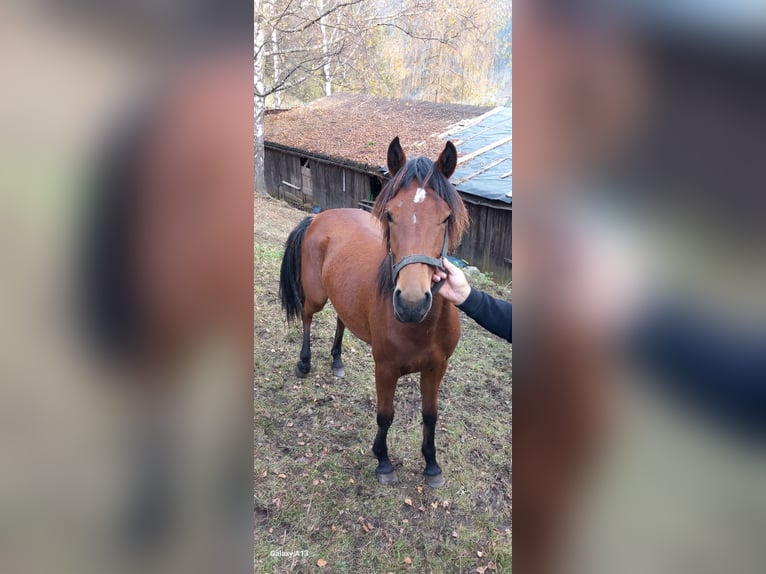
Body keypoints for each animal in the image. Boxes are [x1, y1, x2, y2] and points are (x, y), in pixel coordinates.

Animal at [278, 137, 468, 488]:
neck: (422, 327)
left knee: (341, 319)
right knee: (308, 318)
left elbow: (430, 415)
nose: (411, 303)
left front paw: (431, 465)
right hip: (316, 297)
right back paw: (304, 362)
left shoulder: (436, 368)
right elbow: (385, 415)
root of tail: (320, 217)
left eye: (445, 217)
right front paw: (383, 461)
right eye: (390, 215)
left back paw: (337, 360)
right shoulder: (385, 369)